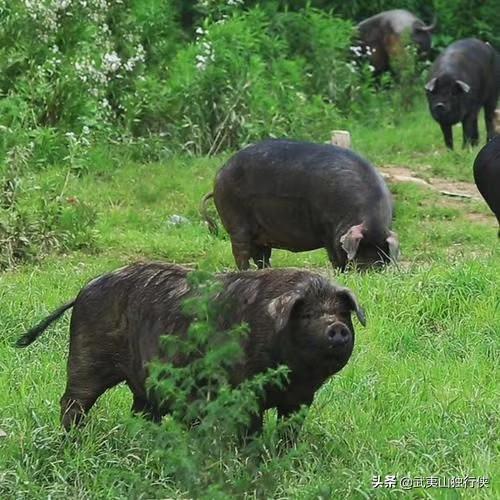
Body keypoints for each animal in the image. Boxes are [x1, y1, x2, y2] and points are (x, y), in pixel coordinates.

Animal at [17, 262, 366, 434]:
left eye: (343, 312)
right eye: (307, 315)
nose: (337, 328)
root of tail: (82, 290)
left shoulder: (301, 399)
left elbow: (289, 431)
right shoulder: (244, 390)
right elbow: (250, 429)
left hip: (142, 379)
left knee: (141, 409)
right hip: (86, 356)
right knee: (73, 401)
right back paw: (73, 439)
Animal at [201, 139, 400, 272]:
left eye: (382, 256)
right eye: (360, 249)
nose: (370, 271)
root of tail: (218, 177)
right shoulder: (327, 231)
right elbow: (335, 258)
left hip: (261, 233)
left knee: (261, 256)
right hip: (236, 221)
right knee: (241, 253)